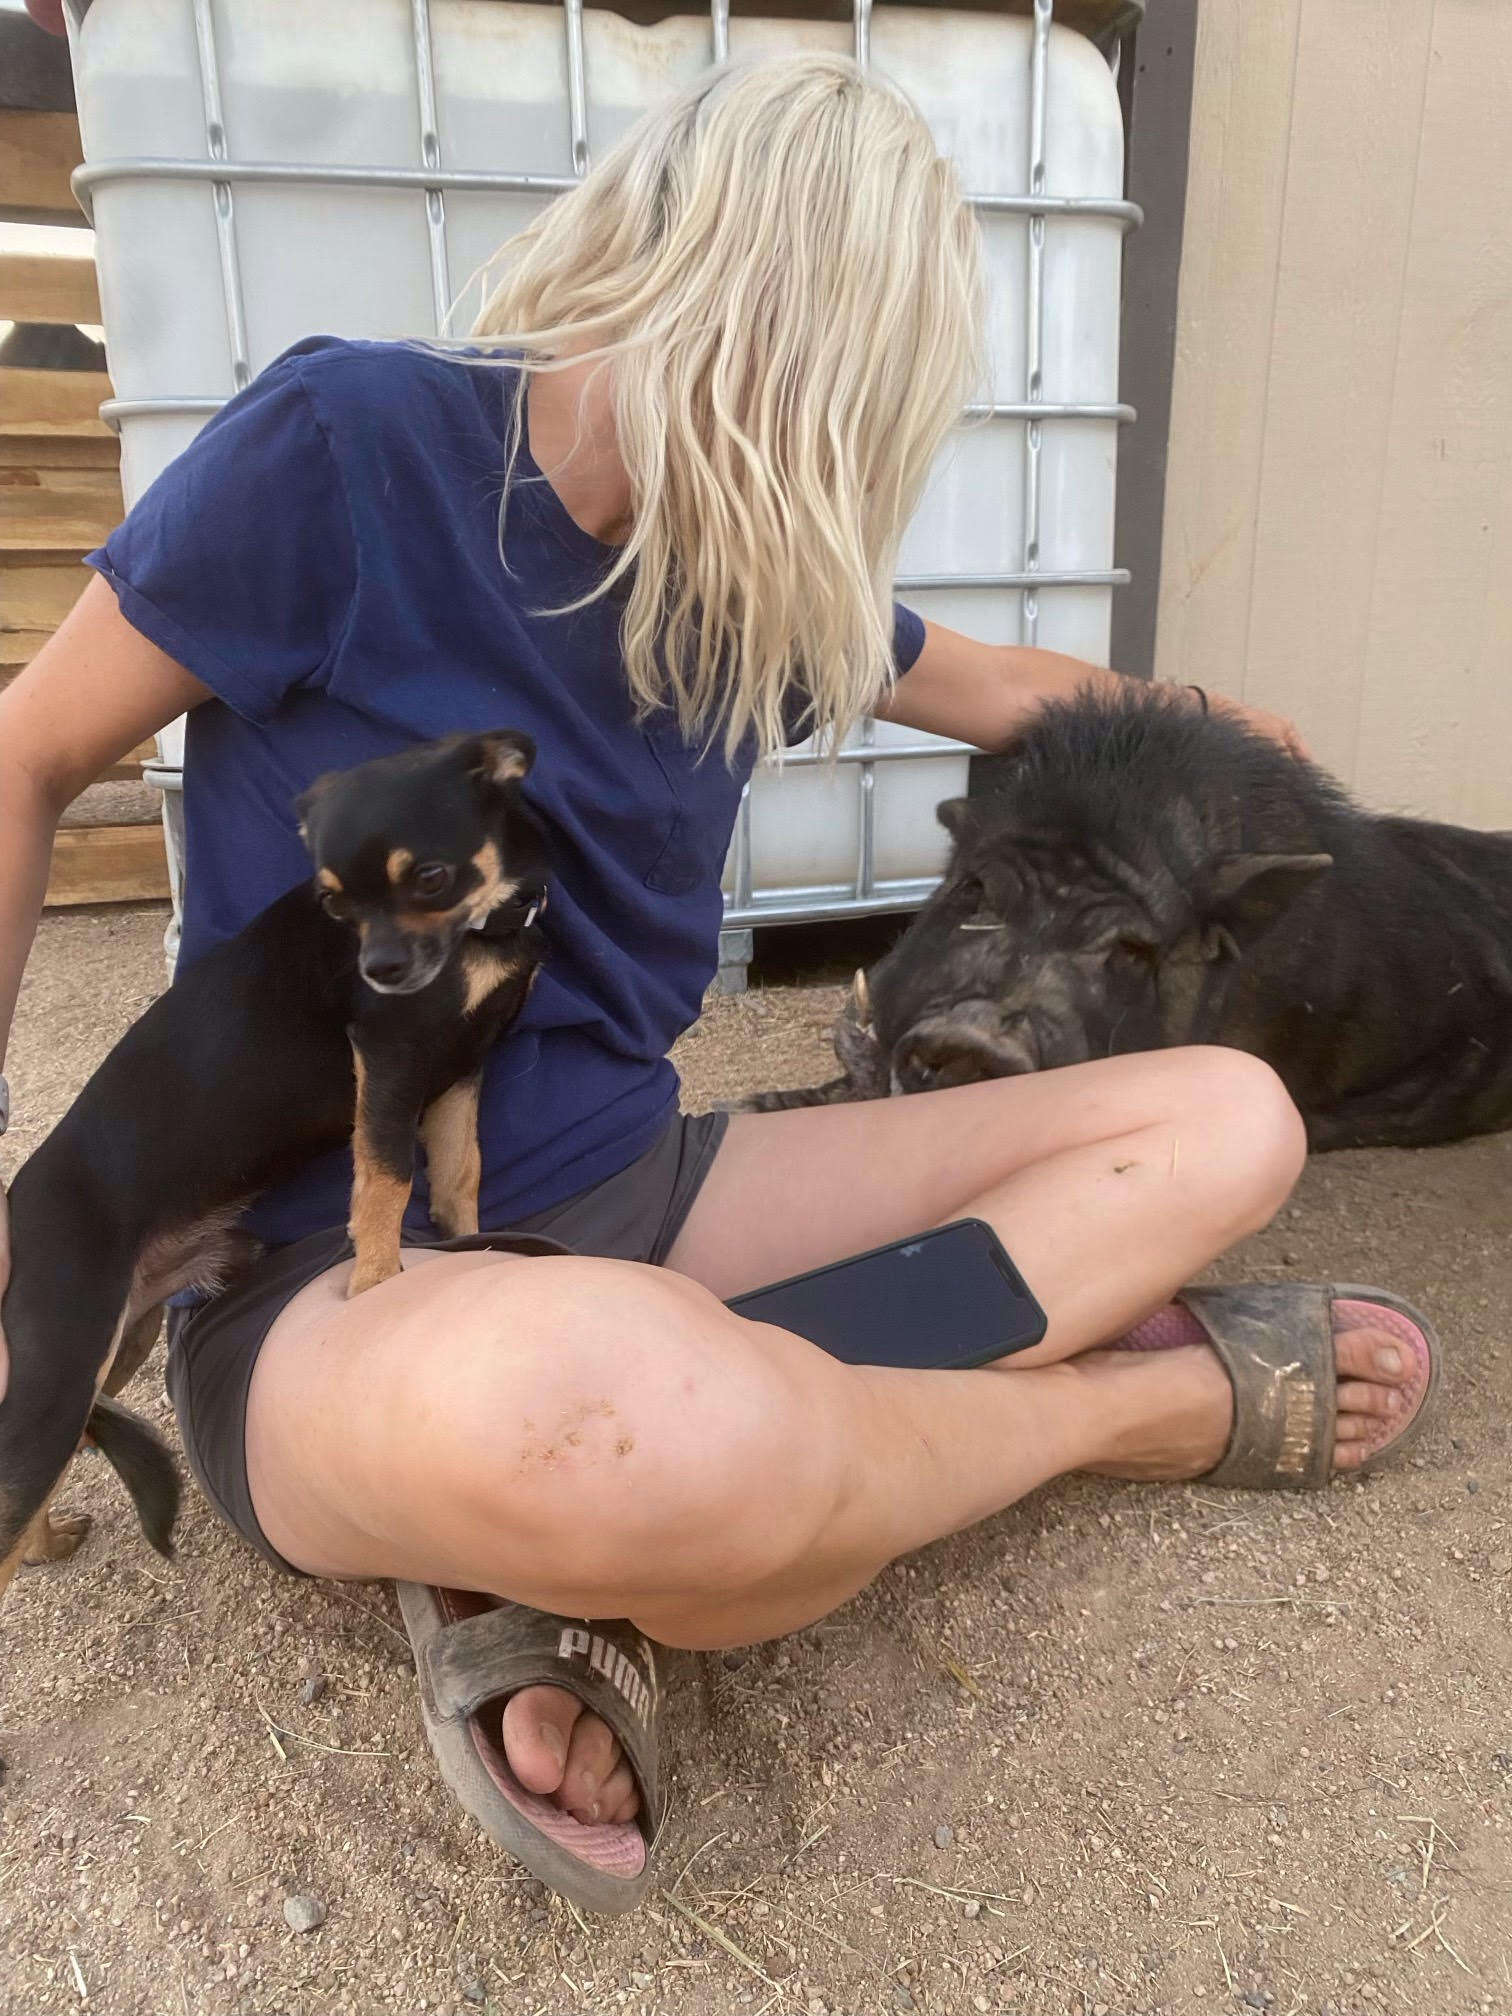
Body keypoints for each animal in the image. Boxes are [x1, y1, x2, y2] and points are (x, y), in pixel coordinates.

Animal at [0, 729, 544, 1604]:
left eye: (429, 877)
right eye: (334, 907)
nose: (378, 971)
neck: (483, 931)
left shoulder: (462, 1073)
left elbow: (461, 1175)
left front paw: (472, 1239)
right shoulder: (387, 1064)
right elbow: (384, 1184)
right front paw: (376, 1285)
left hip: (114, 1352)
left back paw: (50, 1544)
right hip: (61, 1365)